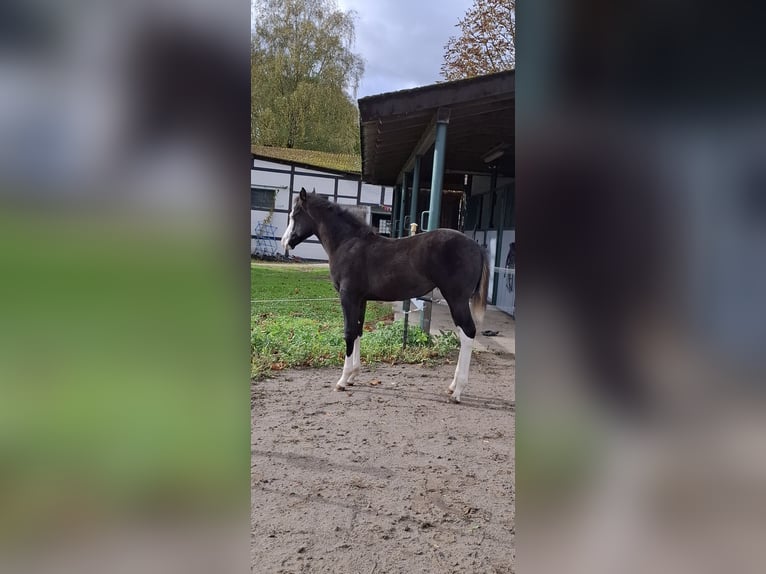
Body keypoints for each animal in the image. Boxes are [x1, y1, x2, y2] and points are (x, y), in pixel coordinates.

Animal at [281, 188, 489, 403]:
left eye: (295, 215)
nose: (285, 242)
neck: (348, 243)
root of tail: (477, 247)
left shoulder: (348, 297)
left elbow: (349, 332)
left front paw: (342, 380)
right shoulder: (360, 300)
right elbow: (358, 331)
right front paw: (353, 376)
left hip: (457, 300)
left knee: (468, 332)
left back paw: (457, 391)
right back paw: (452, 386)